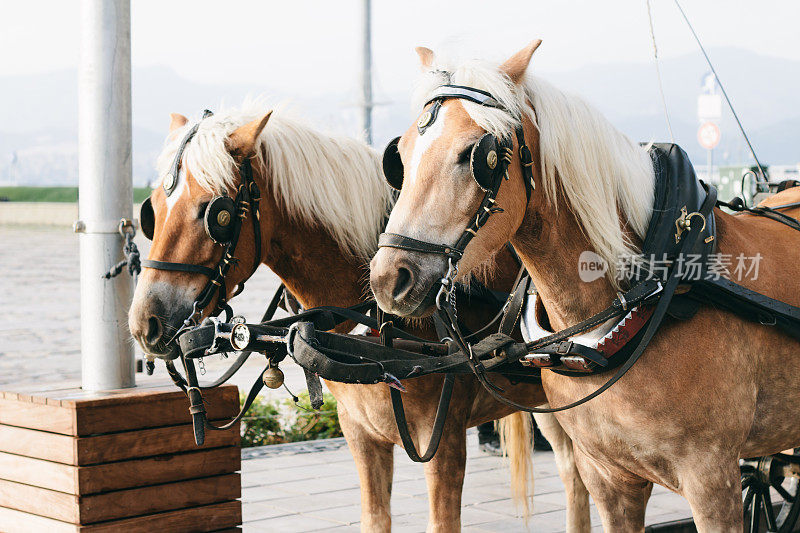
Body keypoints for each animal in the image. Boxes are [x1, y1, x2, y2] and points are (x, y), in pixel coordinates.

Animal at [128, 105, 592, 532]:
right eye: (151, 212)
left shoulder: (443, 441)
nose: (144, 323)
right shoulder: (359, 434)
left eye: (216, 213)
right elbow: (375, 517)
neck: (374, 322)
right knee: (575, 475)